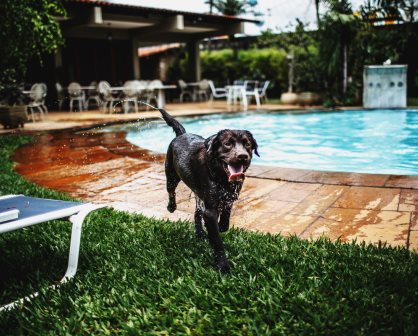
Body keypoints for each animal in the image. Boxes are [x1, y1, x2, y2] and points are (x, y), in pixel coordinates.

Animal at [159, 109, 260, 274]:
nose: (242, 156)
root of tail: (182, 134)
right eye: (227, 143)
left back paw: (200, 234)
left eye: (247, 144)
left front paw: (222, 225)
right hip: (171, 175)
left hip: (199, 194)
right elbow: (217, 241)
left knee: (196, 213)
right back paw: (171, 207)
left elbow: (225, 218)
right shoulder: (210, 210)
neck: (220, 175)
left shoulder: (229, 197)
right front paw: (223, 267)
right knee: (171, 192)